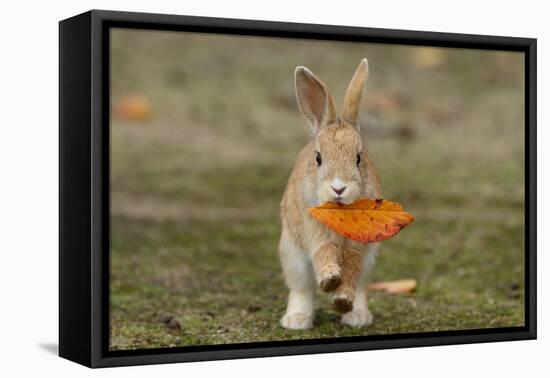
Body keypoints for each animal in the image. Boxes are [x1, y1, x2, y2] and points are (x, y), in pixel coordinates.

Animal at [282, 57, 382, 330]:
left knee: (361, 286)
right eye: (318, 158)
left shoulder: (359, 246)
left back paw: (358, 318)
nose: (339, 188)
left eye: (359, 158)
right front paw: (329, 279)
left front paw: (342, 299)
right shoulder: (314, 230)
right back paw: (296, 321)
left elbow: (351, 270)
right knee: (302, 289)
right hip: (292, 256)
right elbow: (323, 251)